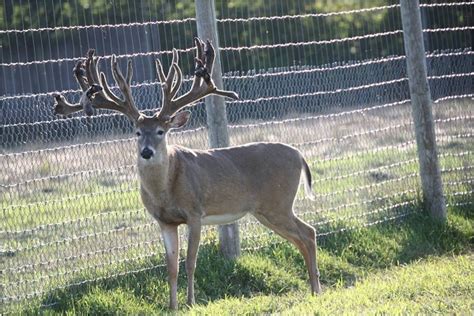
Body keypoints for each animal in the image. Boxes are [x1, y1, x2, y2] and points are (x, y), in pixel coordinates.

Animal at [54, 37, 322, 312]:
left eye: (161, 131)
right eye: (137, 132)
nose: (147, 152)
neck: (165, 191)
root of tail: (299, 155)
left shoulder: (195, 212)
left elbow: (191, 262)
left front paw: (191, 302)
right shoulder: (164, 221)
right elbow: (171, 267)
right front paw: (172, 306)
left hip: (277, 203)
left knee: (308, 233)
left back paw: (316, 289)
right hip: (266, 210)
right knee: (302, 237)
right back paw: (314, 289)